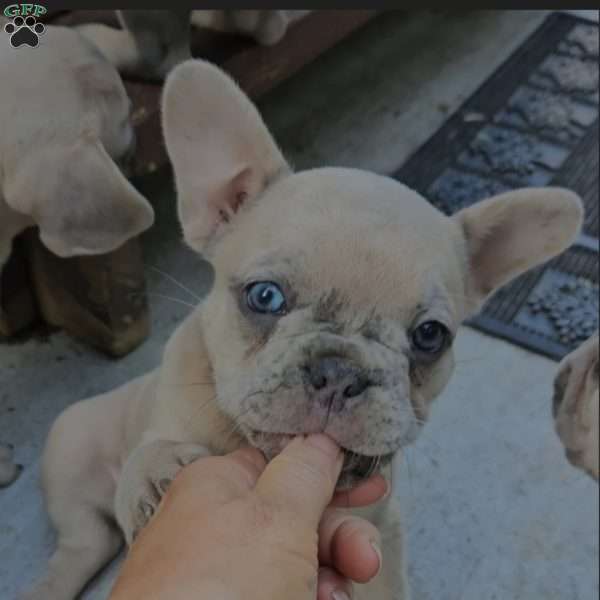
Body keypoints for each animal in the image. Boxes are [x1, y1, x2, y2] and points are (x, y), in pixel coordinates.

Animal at [25, 57, 584, 600]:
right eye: (264, 296)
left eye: (430, 336)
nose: (340, 374)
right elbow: (152, 454)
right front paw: (156, 475)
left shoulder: (378, 532)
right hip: (71, 457)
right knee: (83, 542)